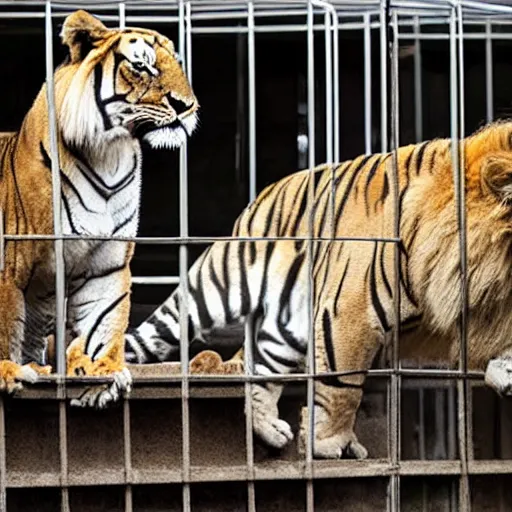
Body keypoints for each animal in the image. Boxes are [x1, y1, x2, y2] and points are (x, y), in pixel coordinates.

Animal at [0, 9, 198, 408]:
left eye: (177, 65)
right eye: (142, 66)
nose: (187, 106)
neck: (110, 156)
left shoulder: (105, 259)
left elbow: (102, 316)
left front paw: (97, 374)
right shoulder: (12, 263)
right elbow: (5, 323)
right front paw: (7, 372)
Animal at [125, 121, 512, 460]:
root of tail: (264, 195)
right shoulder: (350, 314)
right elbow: (342, 387)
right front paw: (327, 444)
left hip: (289, 326)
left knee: (260, 372)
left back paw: (269, 429)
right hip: (214, 285)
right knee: (153, 333)